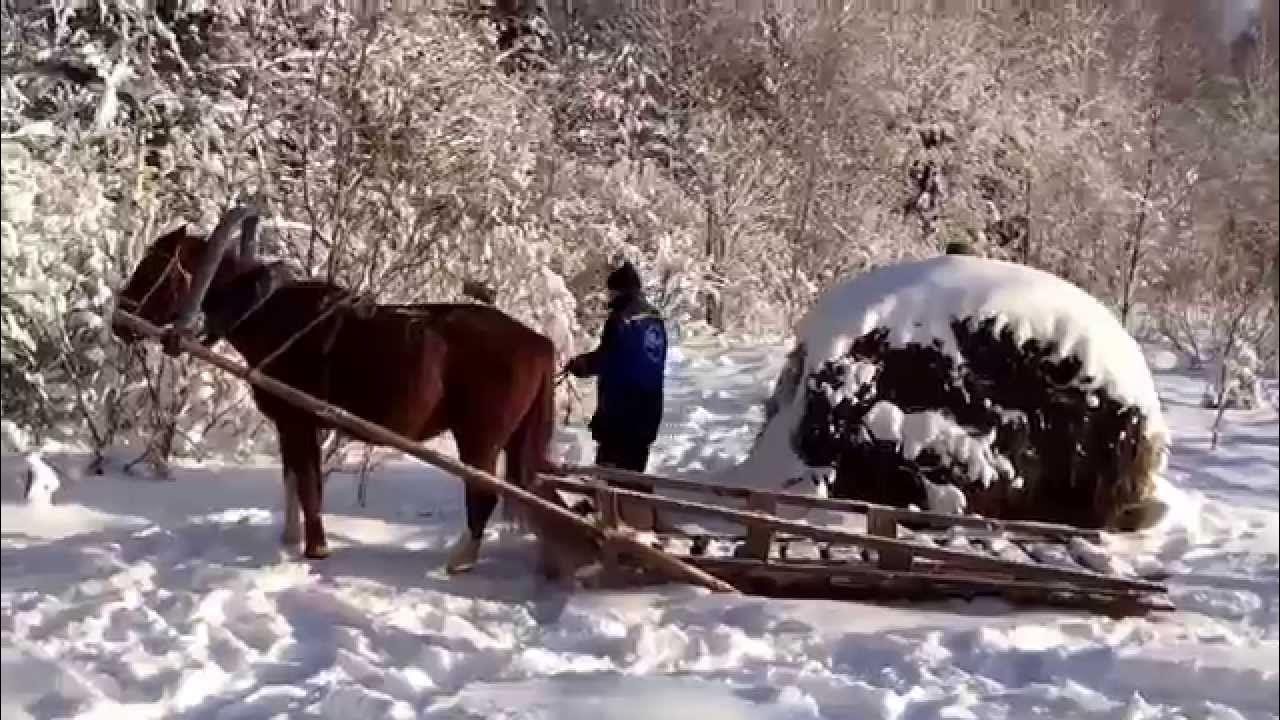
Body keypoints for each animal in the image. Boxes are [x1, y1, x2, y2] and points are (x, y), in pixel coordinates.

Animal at [110, 204, 570, 568]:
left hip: (480, 437)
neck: (269, 313)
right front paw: (289, 539)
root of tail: (539, 341)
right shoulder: (289, 425)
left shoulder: (299, 421)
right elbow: (292, 480)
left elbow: (310, 486)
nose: (118, 322)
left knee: (484, 494)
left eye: (153, 269)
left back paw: (459, 560)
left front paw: (316, 548)